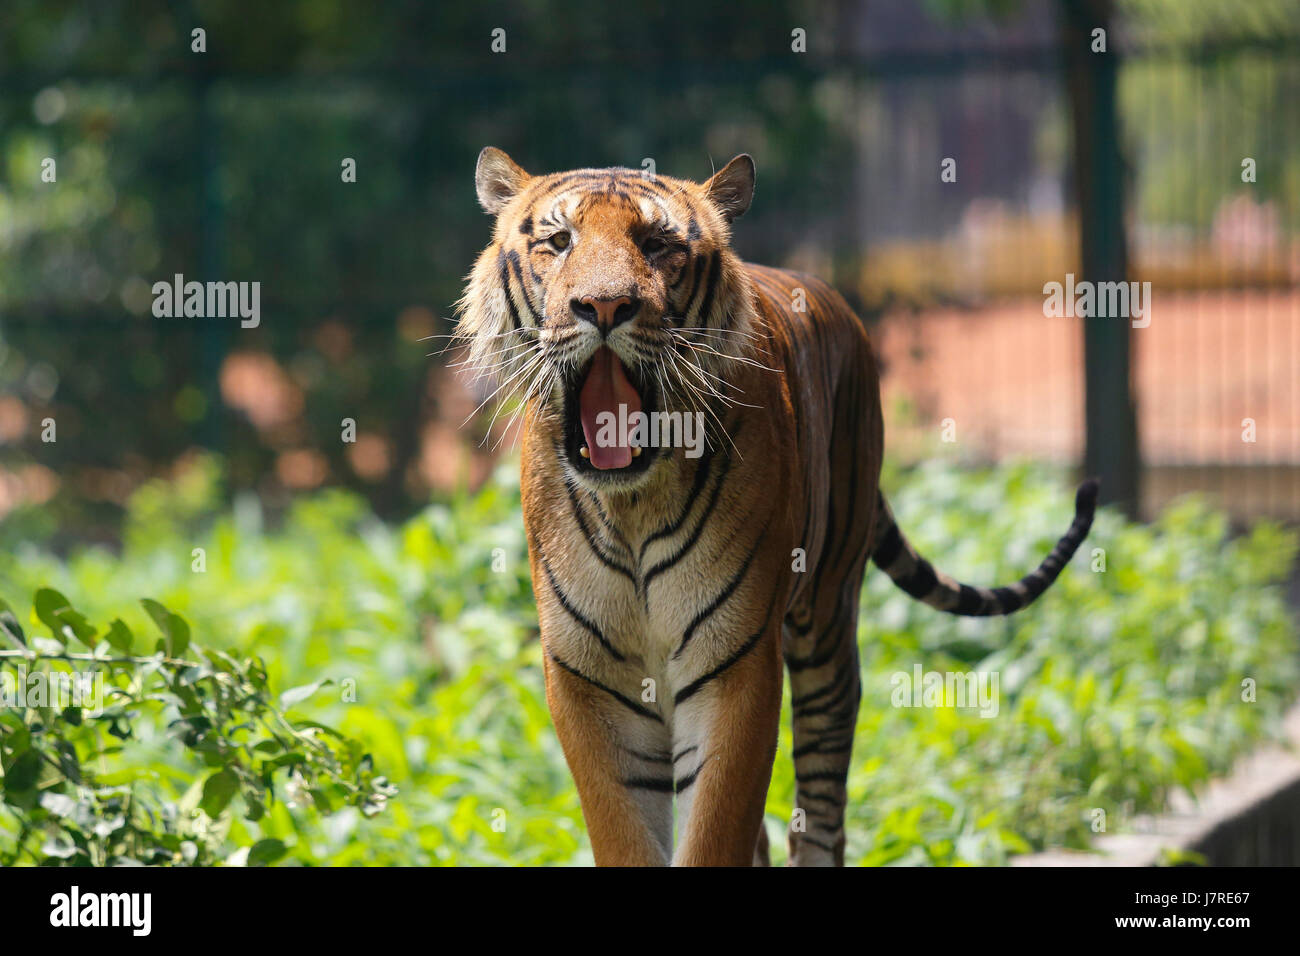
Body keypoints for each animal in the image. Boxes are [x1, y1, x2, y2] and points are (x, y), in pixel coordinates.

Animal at [457, 147, 1097, 868]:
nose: (604, 305)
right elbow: (629, 835)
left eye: (657, 245)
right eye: (559, 241)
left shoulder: (735, 666)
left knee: (820, 807)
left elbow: (716, 830)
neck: (632, 507)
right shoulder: (584, 677)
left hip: (827, 625)